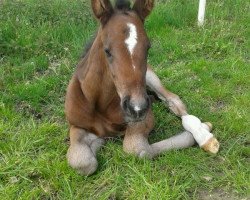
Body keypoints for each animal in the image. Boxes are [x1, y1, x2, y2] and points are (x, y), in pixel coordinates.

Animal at [64, 0, 201, 175]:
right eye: (107, 50)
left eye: (148, 47)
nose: (137, 108)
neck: (99, 102)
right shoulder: (76, 125)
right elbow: (82, 163)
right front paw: (99, 141)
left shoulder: (145, 118)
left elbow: (137, 149)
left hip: (150, 77)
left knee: (174, 101)